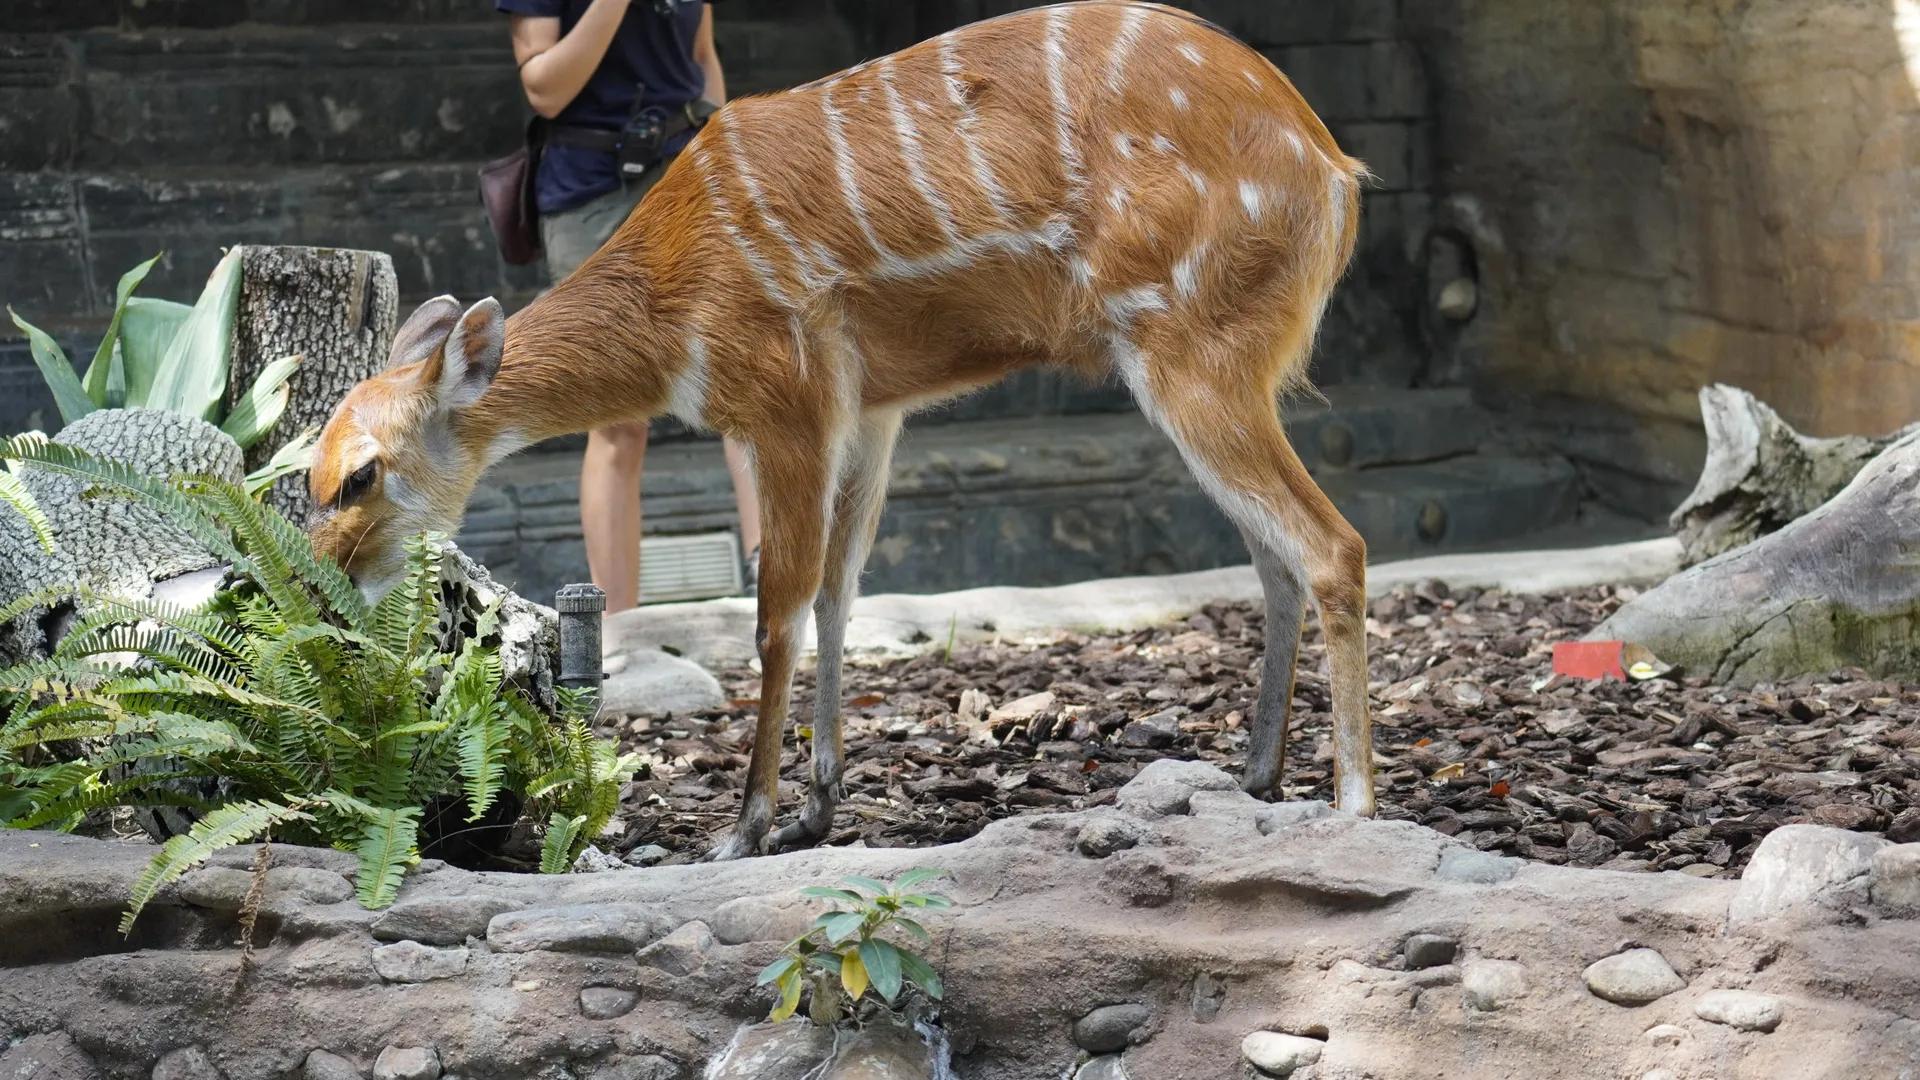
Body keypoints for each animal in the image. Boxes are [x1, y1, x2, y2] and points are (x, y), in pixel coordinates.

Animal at [307, 2, 1374, 857]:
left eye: (360, 475)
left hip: (1190, 349)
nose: (325, 579)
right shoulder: (873, 407)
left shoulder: (790, 398)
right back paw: (1254, 778)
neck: (672, 306)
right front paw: (817, 811)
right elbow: (839, 591)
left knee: (1332, 545)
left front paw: (743, 829)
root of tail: (1334, 170)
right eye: (309, 474)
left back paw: (1353, 807)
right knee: (1273, 554)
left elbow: (775, 611)